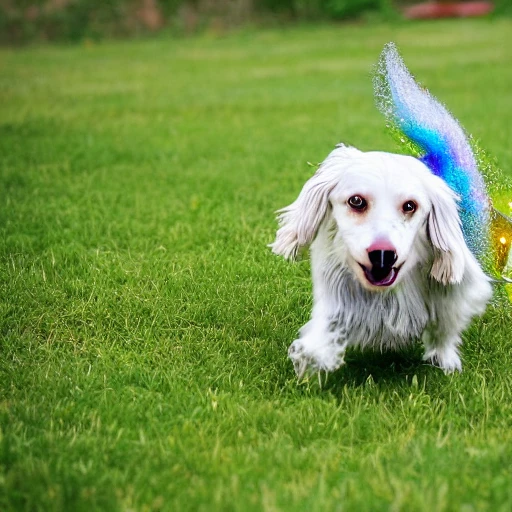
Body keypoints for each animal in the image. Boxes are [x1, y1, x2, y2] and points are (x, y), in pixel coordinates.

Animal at [272, 144, 492, 376]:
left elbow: (444, 329)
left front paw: (445, 361)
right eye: (356, 201)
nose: (383, 254)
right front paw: (313, 355)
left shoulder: (456, 296)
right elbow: (327, 326)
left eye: (410, 206)